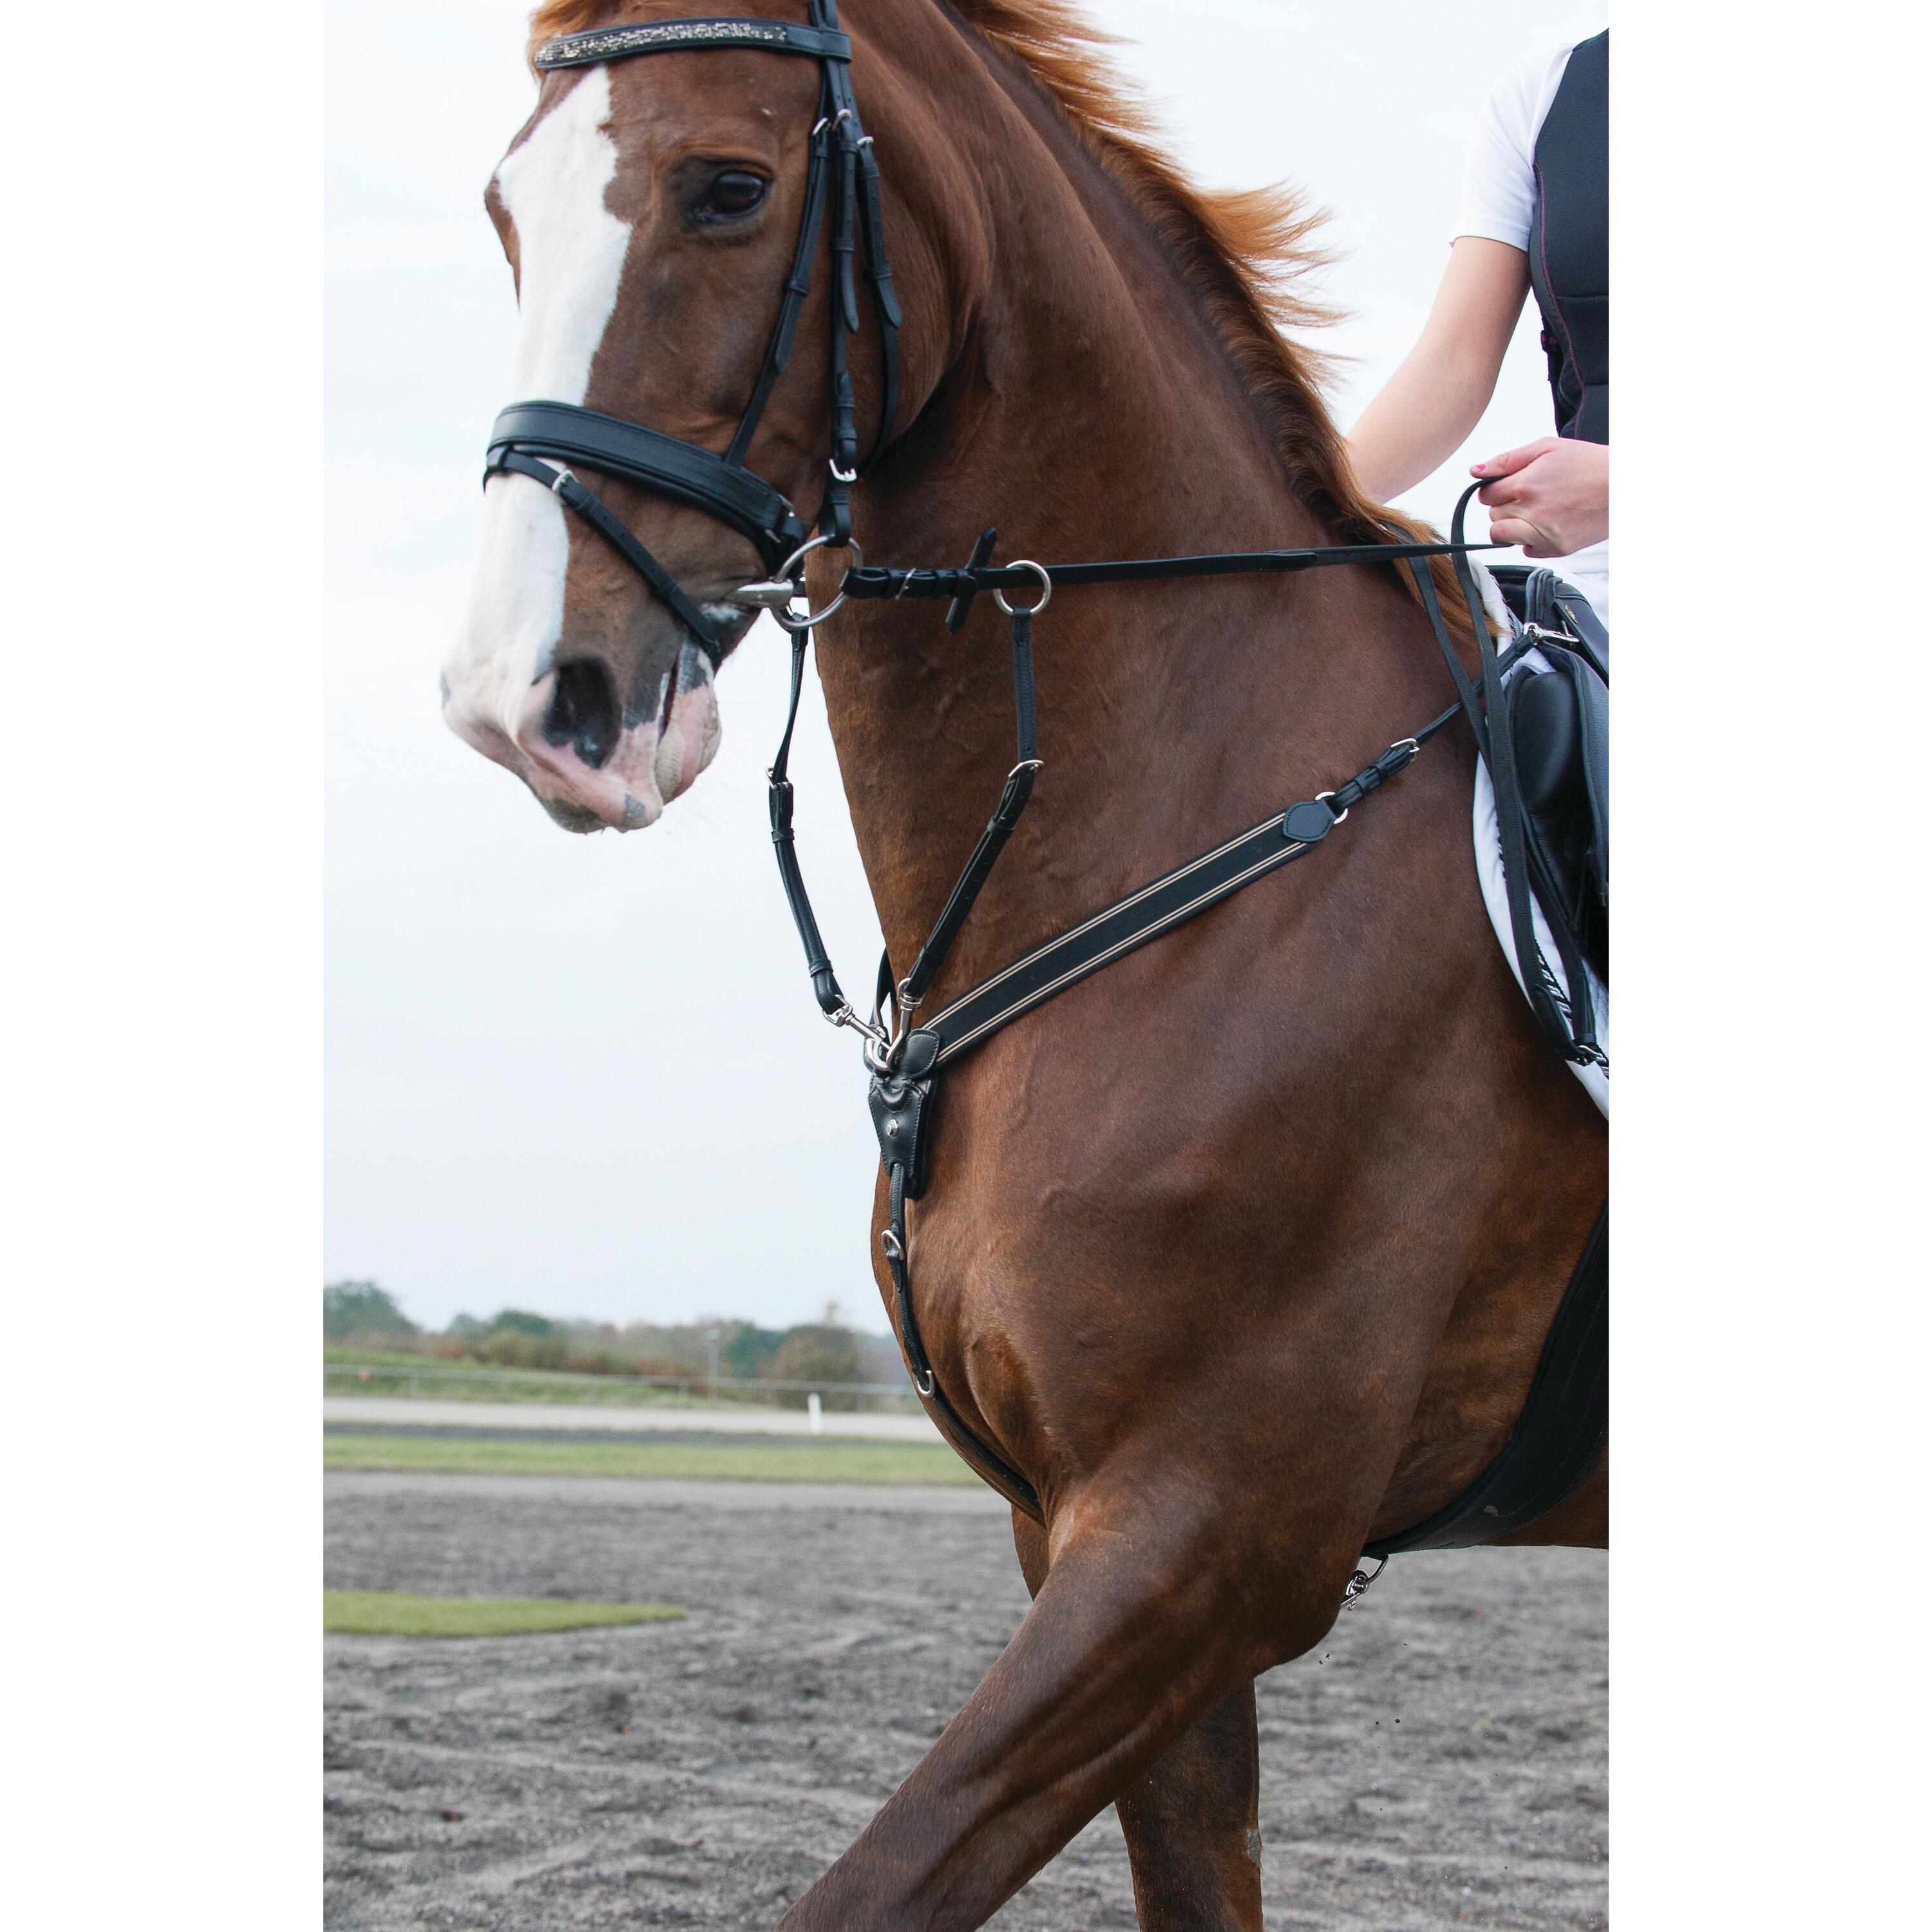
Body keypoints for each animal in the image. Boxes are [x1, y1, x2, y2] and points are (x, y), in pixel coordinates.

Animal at [439, 4, 1608, 1926]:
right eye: (503, 213)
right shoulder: (1085, 1533)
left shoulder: (1210, 1533)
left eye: (728, 186)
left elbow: (871, 1885)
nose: (524, 699)